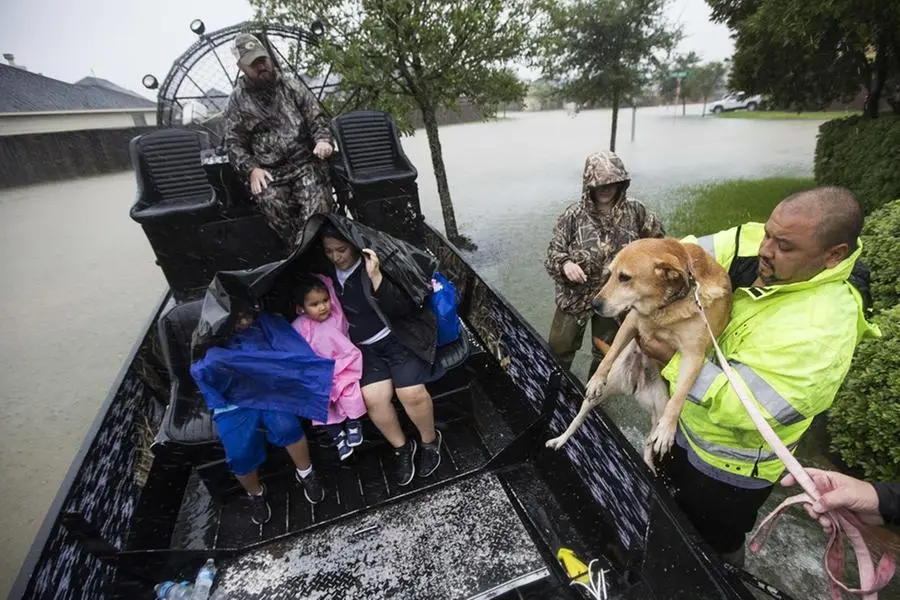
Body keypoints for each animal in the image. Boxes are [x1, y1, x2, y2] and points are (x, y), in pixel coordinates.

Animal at [544, 238, 736, 468]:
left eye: (625, 277)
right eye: (609, 273)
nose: (594, 304)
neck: (667, 306)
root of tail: (635, 386)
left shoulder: (693, 355)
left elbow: (680, 395)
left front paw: (668, 429)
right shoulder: (631, 322)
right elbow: (609, 355)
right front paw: (597, 379)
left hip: (659, 408)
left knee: (648, 443)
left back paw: (650, 466)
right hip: (601, 394)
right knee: (577, 419)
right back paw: (559, 439)